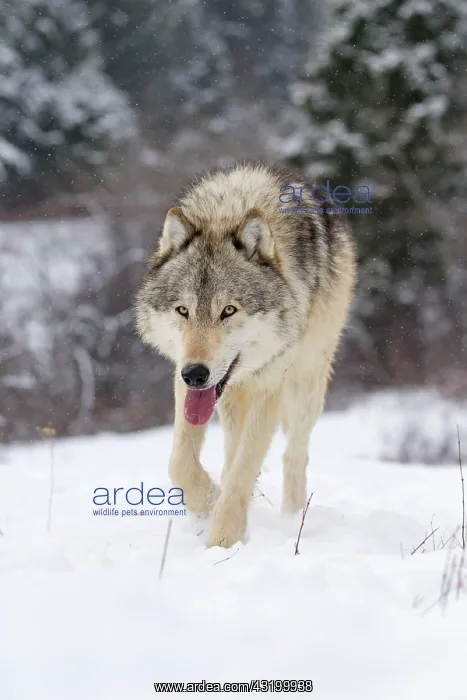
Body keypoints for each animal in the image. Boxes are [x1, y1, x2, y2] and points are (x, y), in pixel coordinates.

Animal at [135, 163, 356, 548]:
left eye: (228, 310)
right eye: (183, 310)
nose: (196, 374)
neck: (229, 213)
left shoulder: (270, 386)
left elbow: (243, 470)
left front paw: (223, 542)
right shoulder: (185, 381)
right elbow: (180, 463)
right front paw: (208, 500)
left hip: (306, 379)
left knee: (294, 455)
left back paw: (292, 519)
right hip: (232, 397)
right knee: (230, 450)